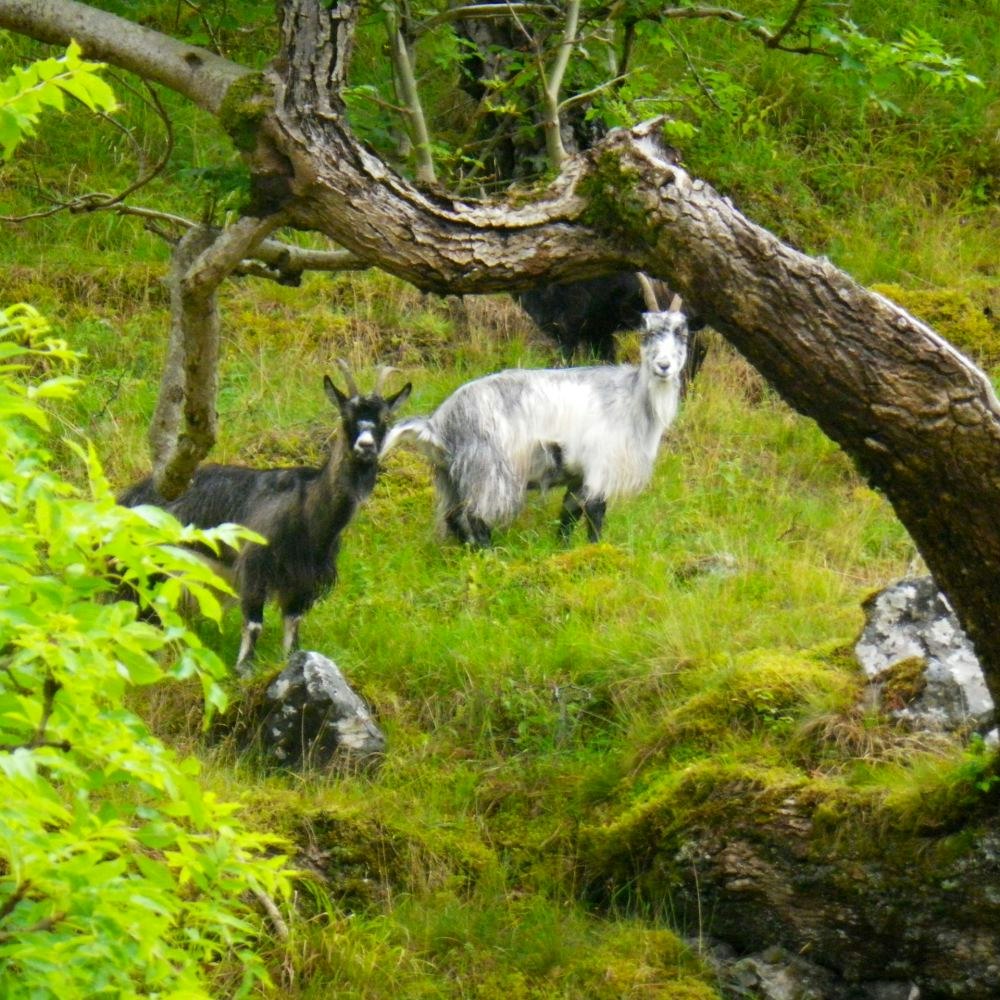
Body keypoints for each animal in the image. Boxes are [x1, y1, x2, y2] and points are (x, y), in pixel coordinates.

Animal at [119, 366, 411, 671]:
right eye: (346, 415)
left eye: (386, 418)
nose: (365, 446)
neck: (307, 511)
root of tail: (130, 497)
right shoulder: (254, 567)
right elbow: (254, 623)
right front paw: (244, 669)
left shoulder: (302, 581)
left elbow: (293, 624)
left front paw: (292, 660)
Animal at [382, 299, 689, 547]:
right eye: (646, 332)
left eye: (682, 333)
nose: (663, 366)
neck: (633, 398)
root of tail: (437, 424)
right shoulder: (601, 464)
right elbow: (595, 512)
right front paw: (595, 551)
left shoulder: (578, 473)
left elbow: (569, 513)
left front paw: (563, 549)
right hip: (489, 471)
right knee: (475, 515)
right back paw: (490, 557)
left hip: (452, 476)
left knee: (453, 516)